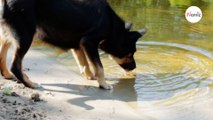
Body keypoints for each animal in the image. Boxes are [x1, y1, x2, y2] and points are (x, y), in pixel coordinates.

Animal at [0, 0, 146, 89]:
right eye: (129, 54)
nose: (134, 67)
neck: (111, 27)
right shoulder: (89, 42)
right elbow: (99, 67)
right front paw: (103, 84)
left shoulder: (79, 44)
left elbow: (85, 63)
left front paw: (90, 77)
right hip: (25, 36)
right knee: (15, 65)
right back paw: (30, 84)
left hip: (10, 34)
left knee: (3, 54)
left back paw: (7, 75)